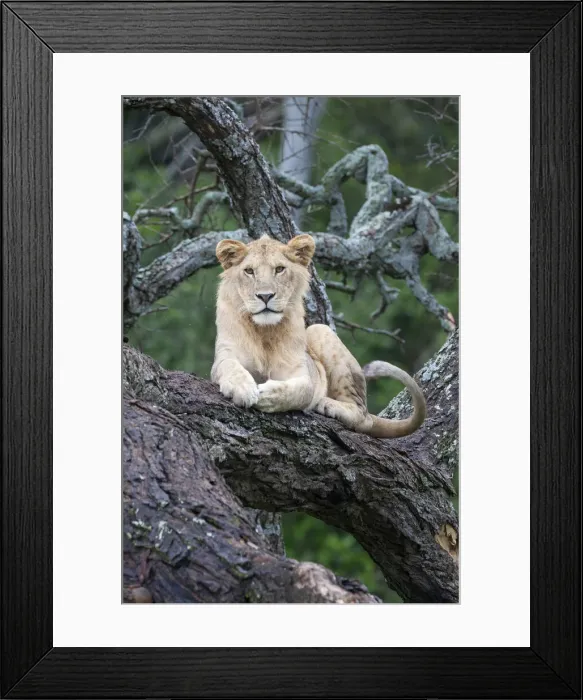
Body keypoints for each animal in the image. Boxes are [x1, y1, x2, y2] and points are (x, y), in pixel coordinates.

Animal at [211, 234, 426, 438]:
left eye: (279, 269)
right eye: (249, 271)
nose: (265, 296)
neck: (265, 331)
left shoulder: (300, 371)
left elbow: (303, 390)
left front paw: (267, 394)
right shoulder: (225, 354)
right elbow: (229, 366)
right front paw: (243, 388)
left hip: (319, 330)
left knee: (363, 416)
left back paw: (326, 404)